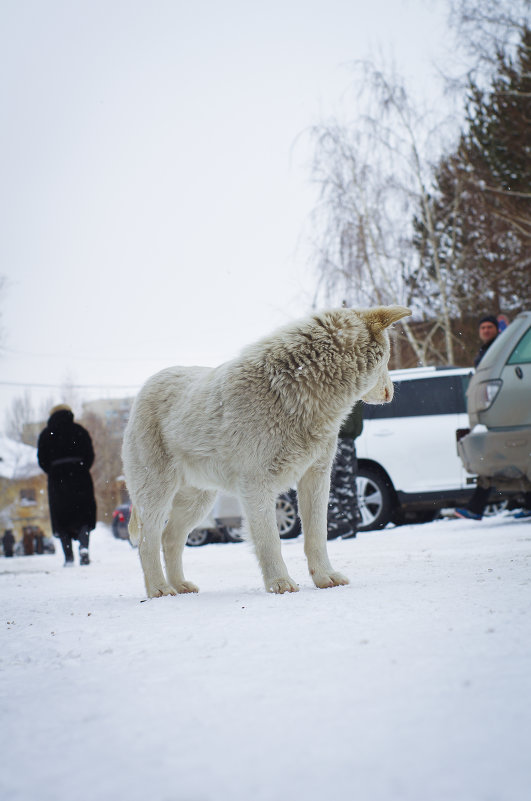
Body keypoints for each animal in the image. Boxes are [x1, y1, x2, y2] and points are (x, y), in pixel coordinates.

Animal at [121, 304, 412, 592]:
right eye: (387, 359)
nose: (391, 393)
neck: (300, 392)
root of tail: (143, 389)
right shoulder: (257, 484)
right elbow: (270, 540)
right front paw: (280, 583)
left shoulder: (316, 477)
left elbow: (317, 535)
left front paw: (325, 578)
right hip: (158, 495)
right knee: (147, 543)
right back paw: (159, 589)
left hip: (198, 502)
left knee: (170, 539)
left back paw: (181, 585)